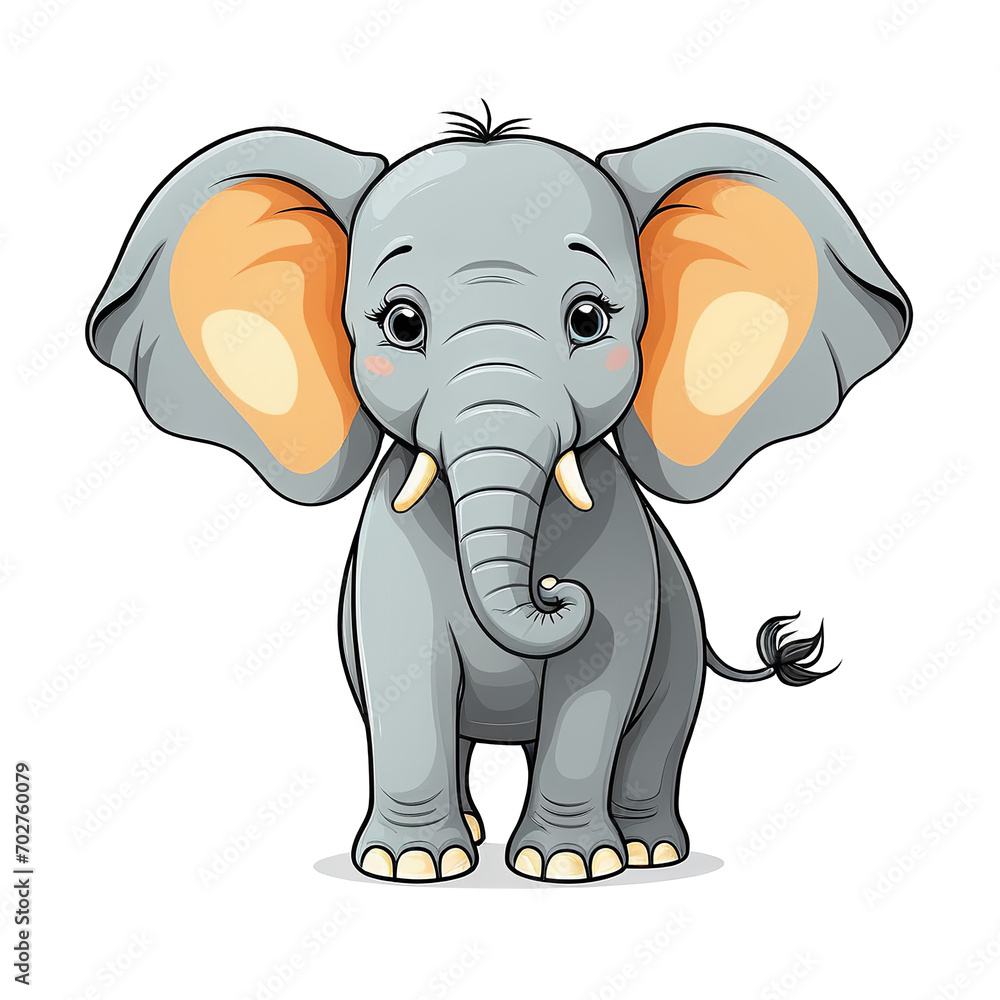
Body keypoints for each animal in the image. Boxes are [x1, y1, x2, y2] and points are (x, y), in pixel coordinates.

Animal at [88, 107, 910, 884]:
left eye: (589, 319)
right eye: (401, 323)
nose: (554, 590)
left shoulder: (626, 555)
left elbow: (598, 674)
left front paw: (569, 867)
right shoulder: (393, 551)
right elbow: (406, 669)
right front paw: (410, 867)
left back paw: (646, 850)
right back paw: (474, 840)